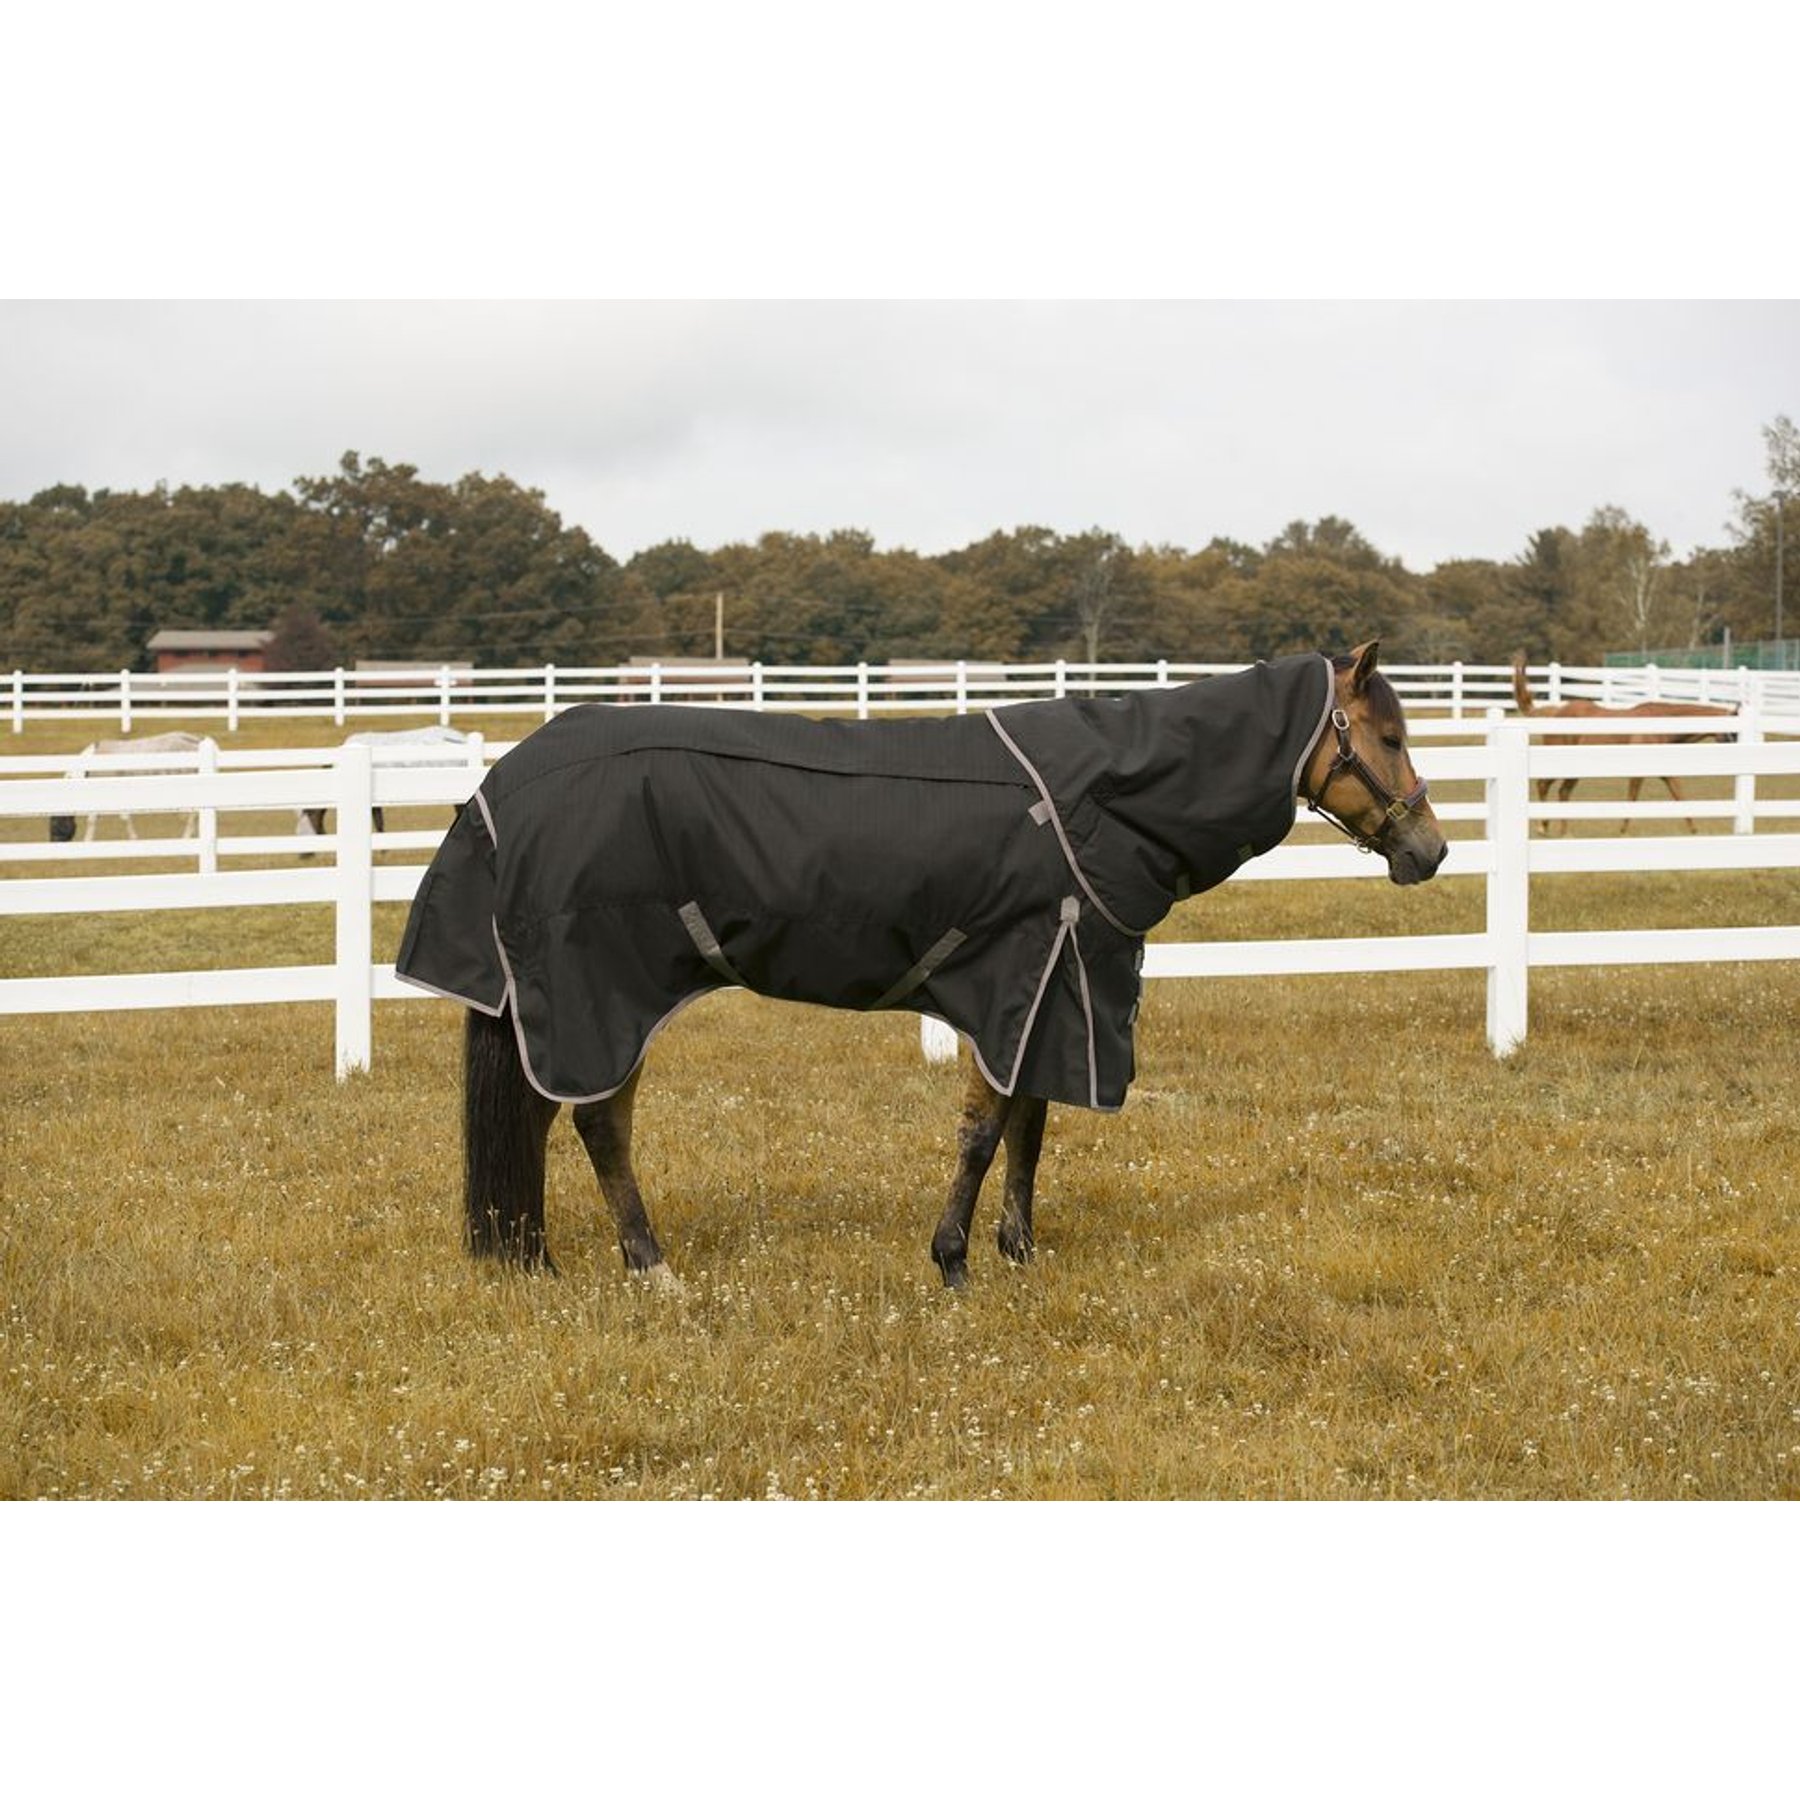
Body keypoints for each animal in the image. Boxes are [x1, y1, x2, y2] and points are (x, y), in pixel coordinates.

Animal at [47, 732, 216, 843]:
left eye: (55, 821)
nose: (53, 841)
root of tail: (194, 740)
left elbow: (98, 819)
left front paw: (88, 841)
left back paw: (186, 835)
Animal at [398, 641, 1447, 1288]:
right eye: (1391, 737)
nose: (1429, 851)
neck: (1100, 795)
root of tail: (502, 784)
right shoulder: (1018, 980)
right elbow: (985, 1134)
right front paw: (952, 1261)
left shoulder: (1049, 993)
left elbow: (1030, 1129)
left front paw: (1019, 1252)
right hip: (600, 995)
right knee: (593, 1123)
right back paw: (648, 1267)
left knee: (545, 1123)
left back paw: (537, 1256)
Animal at [1511, 652, 1736, 833]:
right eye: (1734, 733)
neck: (1659, 725)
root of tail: (1556, 712)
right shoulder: (1637, 772)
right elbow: (1632, 799)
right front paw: (1622, 831)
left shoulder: (1666, 773)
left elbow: (1680, 797)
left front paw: (1694, 830)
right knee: (1543, 785)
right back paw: (1543, 827)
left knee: (1563, 792)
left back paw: (1564, 831)